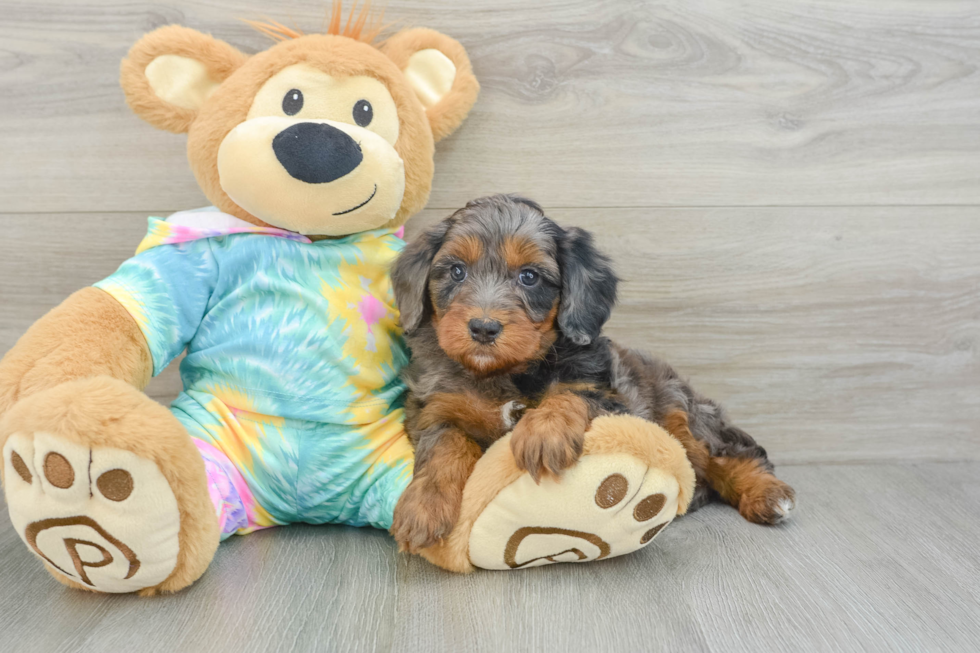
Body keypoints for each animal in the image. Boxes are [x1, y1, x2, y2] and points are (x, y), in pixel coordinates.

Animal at [386, 192, 792, 552]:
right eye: (456, 271)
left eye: (529, 277)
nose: (483, 328)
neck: (505, 373)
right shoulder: (434, 407)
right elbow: (444, 445)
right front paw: (423, 507)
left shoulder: (611, 398)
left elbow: (571, 391)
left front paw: (544, 432)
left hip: (684, 417)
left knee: (732, 455)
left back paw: (769, 495)